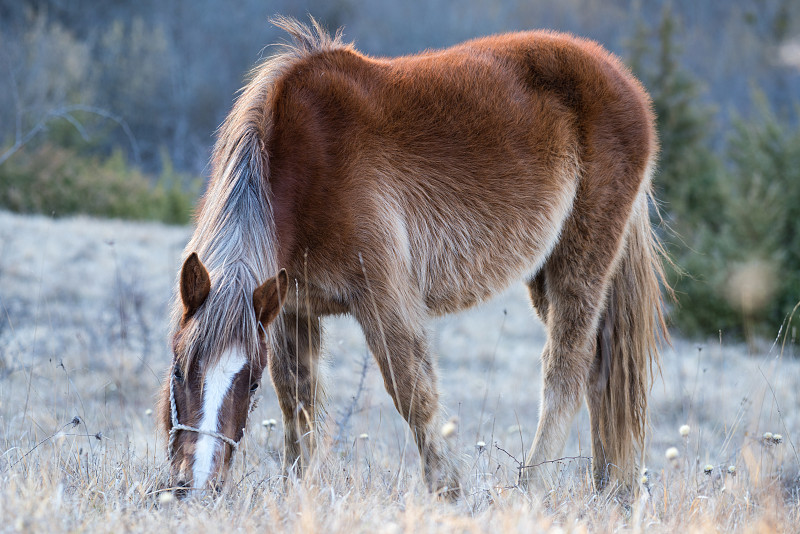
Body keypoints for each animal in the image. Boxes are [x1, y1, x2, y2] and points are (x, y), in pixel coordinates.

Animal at [158, 16, 668, 500]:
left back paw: (533, 490)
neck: (305, 164)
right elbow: (299, 404)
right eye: (179, 367)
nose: (194, 486)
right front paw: (298, 492)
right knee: (602, 372)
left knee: (568, 368)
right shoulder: (290, 310)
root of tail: (623, 79)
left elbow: (411, 393)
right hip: (546, 274)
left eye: (250, 382)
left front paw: (448, 493)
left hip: (582, 262)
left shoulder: (385, 299)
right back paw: (611, 491)